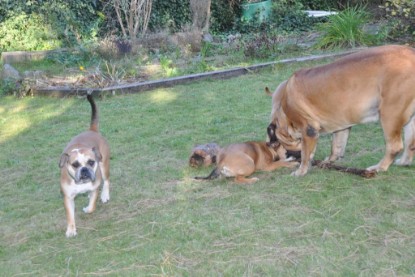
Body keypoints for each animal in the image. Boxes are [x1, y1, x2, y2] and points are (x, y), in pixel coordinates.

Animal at [59, 94, 110, 236]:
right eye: (75, 164)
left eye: (91, 162)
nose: (84, 170)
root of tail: (92, 130)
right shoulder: (68, 198)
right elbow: (70, 215)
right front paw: (71, 230)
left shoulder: (94, 189)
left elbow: (92, 206)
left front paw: (87, 208)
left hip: (104, 166)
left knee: (107, 181)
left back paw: (105, 195)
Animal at [268, 44, 415, 176]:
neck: (285, 115)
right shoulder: (341, 125)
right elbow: (336, 146)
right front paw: (329, 160)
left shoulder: (308, 129)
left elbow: (306, 154)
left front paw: (300, 171)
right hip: (409, 119)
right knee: (410, 143)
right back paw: (403, 162)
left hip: (390, 114)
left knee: (394, 146)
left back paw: (379, 167)